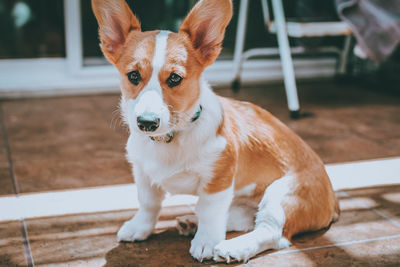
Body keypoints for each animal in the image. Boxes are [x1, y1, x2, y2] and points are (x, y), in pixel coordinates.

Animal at [92, 0, 340, 264]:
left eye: (175, 78)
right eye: (133, 76)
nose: (146, 122)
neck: (170, 138)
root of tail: (333, 201)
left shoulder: (218, 180)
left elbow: (210, 212)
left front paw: (206, 243)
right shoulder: (142, 173)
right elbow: (149, 204)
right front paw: (139, 228)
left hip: (280, 195)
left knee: (270, 232)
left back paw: (232, 247)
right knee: (244, 219)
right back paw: (191, 222)